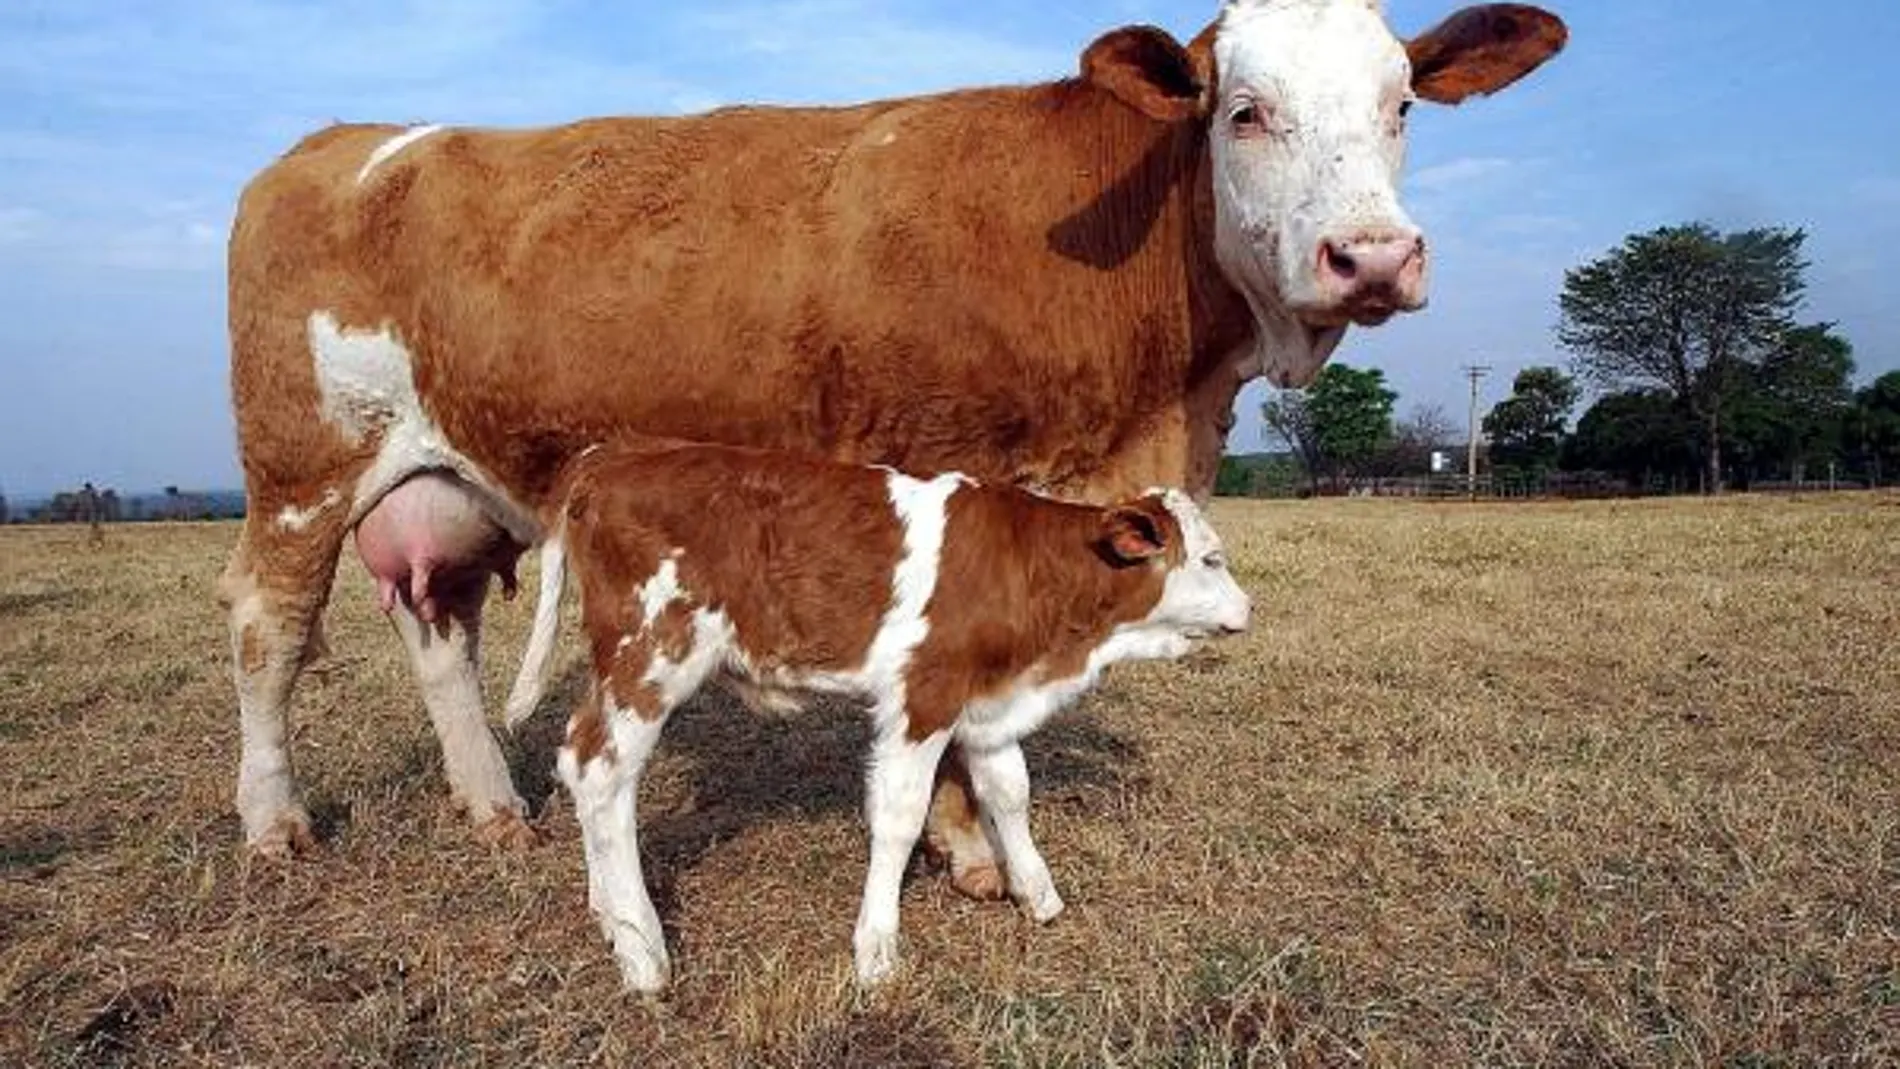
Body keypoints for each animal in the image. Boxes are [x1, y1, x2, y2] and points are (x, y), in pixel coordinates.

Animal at [218, 0, 1568, 884]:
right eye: (1244, 111)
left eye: (1400, 105)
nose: (1372, 256)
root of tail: (348, 143)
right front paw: (970, 853)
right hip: (300, 469)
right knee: (268, 630)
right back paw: (274, 822)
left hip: (440, 481)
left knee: (437, 630)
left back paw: (493, 807)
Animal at [543, 436, 1251, 989]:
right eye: (1211, 559)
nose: (1249, 608)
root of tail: (612, 456)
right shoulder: (923, 694)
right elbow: (901, 817)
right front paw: (877, 949)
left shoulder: (986, 701)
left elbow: (1010, 791)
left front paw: (1038, 893)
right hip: (652, 656)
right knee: (604, 775)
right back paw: (642, 952)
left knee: (576, 759)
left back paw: (607, 916)